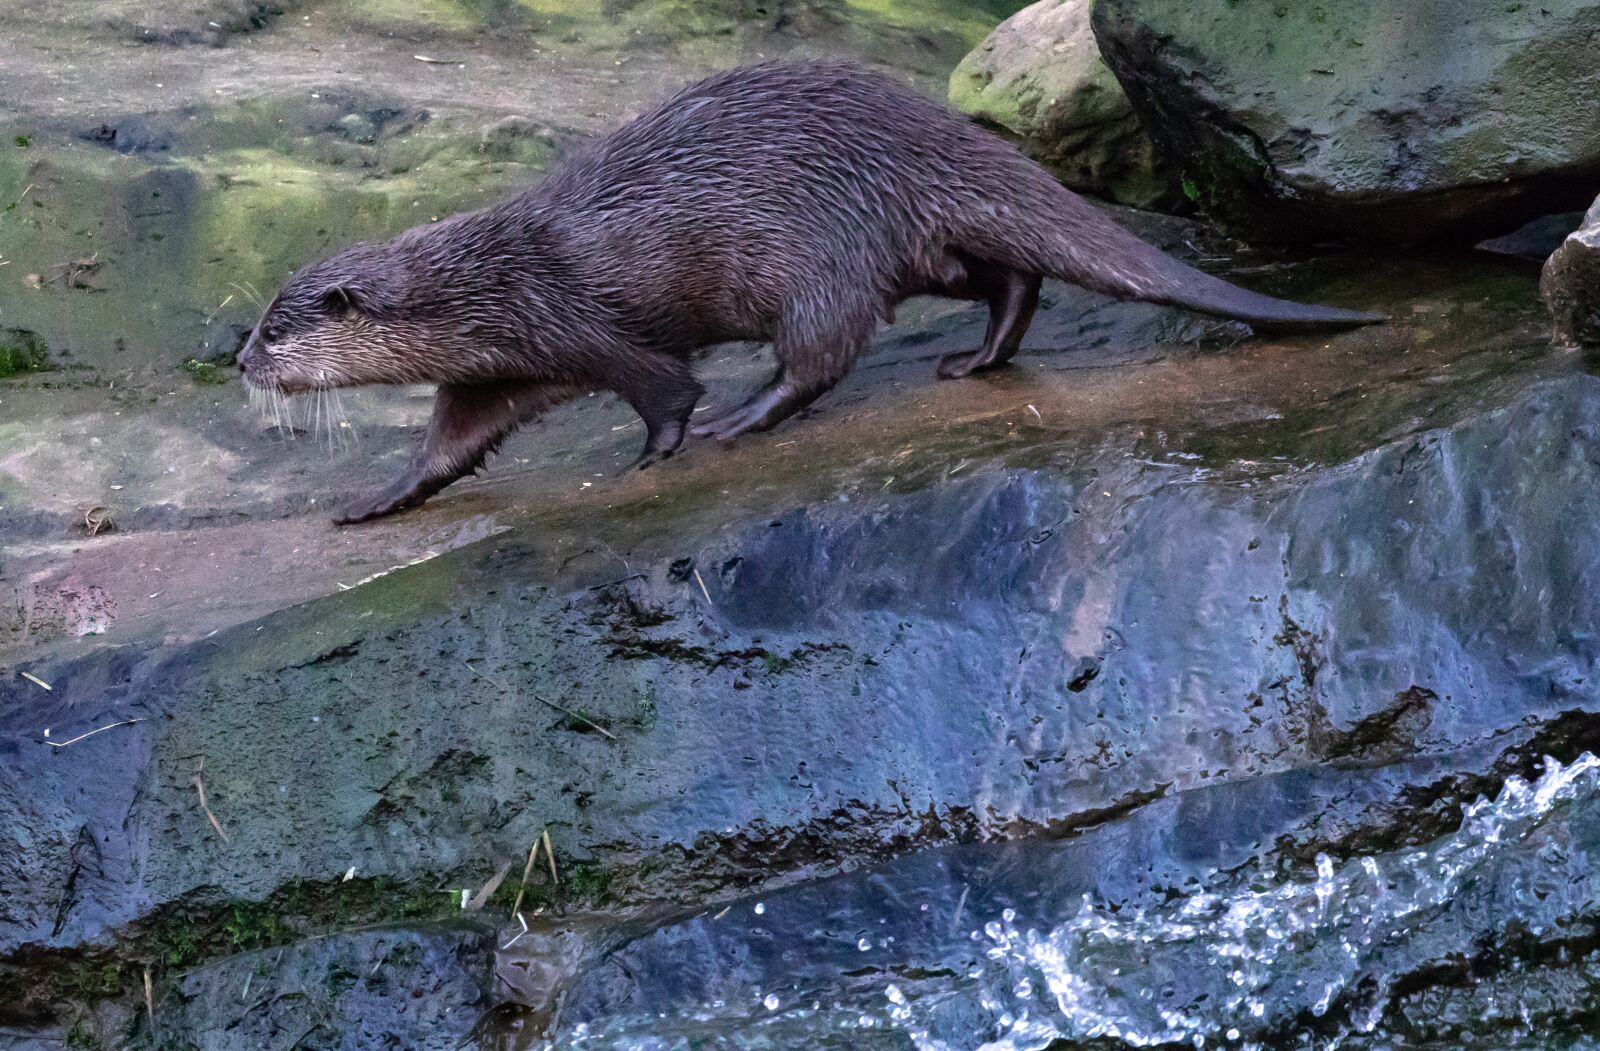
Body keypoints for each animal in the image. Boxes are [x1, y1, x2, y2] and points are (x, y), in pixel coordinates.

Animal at [238, 62, 1382, 525]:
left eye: (275, 329)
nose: (239, 362)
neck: (485, 282)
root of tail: (926, 129)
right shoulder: (500, 366)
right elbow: (449, 445)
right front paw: (375, 500)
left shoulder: (572, 324)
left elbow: (662, 385)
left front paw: (660, 451)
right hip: (906, 241)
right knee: (1005, 272)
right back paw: (977, 358)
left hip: (816, 251)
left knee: (822, 350)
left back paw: (749, 419)